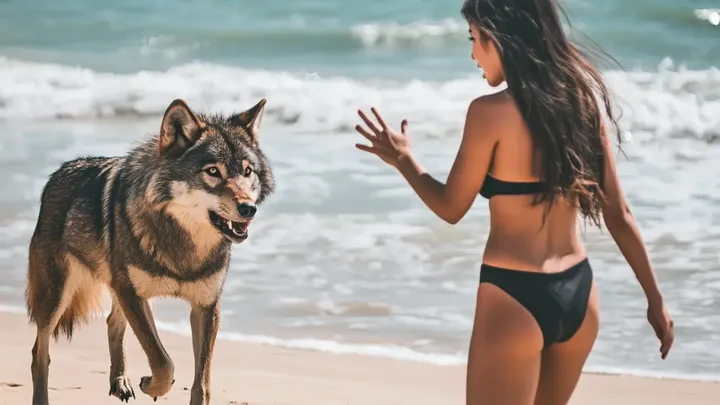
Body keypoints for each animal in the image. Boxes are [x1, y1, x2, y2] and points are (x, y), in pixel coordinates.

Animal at [25, 98, 275, 405]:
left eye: (247, 172)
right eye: (213, 171)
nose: (249, 208)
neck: (184, 248)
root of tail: (59, 172)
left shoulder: (205, 306)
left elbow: (201, 383)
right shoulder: (133, 295)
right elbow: (163, 362)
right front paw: (151, 385)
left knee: (112, 323)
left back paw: (120, 381)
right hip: (57, 297)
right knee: (39, 353)